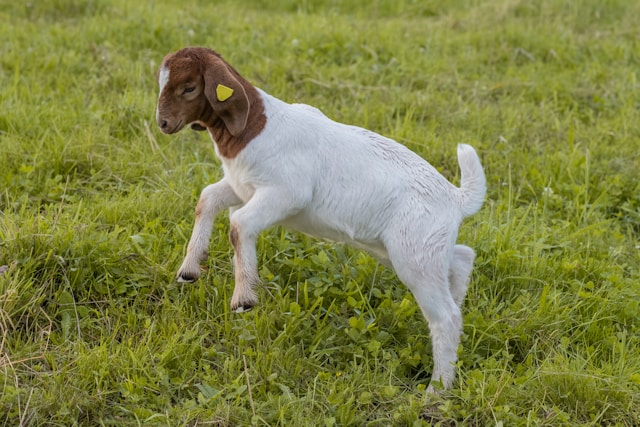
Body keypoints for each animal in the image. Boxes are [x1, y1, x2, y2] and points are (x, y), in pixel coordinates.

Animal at [155, 47, 486, 392]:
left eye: (189, 87)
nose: (163, 123)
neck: (256, 127)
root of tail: (456, 198)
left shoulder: (286, 193)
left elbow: (239, 225)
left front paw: (243, 298)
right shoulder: (242, 187)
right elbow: (207, 199)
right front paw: (189, 270)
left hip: (415, 254)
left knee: (446, 317)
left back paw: (437, 389)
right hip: (413, 248)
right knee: (461, 259)